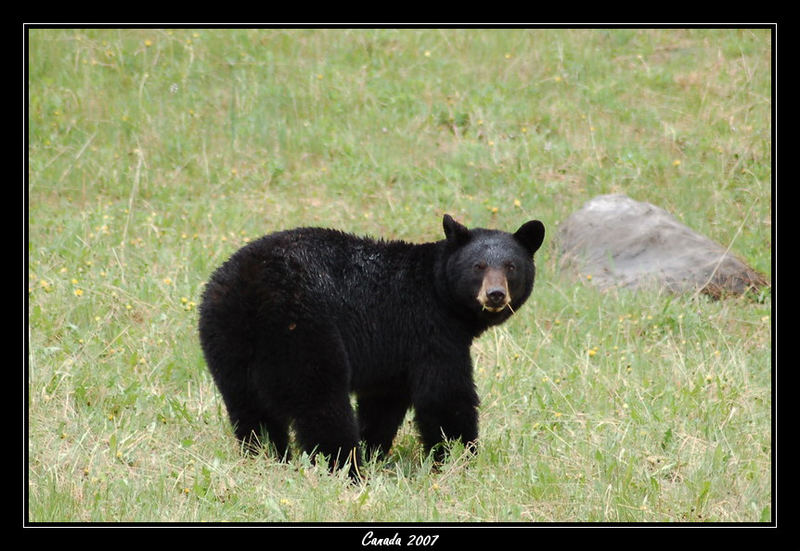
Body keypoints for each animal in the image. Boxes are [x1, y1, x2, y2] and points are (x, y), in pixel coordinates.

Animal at [199, 213, 548, 480]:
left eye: (511, 266)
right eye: (478, 266)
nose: (495, 294)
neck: (438, 292)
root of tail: (251, 287)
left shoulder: (392, 354)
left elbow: (383, 403)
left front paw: (376, 448)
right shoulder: (430, 332)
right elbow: (444, 395)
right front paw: (460, 457)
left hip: (225, 337)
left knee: (249, 408)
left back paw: (267, 456)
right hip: (303, 331)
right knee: (321, 403)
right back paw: (347, 469)